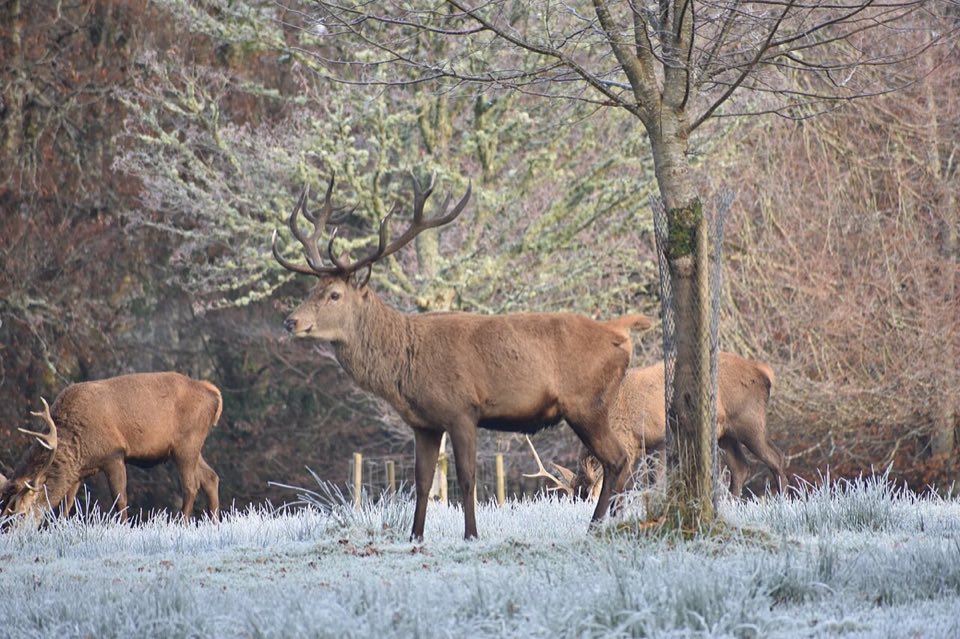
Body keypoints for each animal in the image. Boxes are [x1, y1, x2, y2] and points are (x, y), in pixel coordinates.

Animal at [0, 372, 222, 524]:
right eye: (3, 510)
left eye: (20, 513)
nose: (9, 533)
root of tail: (214, 396)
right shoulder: (78, 472)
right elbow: (66, 505)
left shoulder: (114, 454)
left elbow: (120, 498)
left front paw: (124, 527)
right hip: (189, 448)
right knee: (211, 477)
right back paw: (213, 522)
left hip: (187, 443)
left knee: (191, 485)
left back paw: (182, 523)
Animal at [272, 173, 652, 540]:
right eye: (313, 289)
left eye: (334, 294)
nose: (291, 321)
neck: (405, 366)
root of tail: (619, 331)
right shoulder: (424, 423)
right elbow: (422, 481)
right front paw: (415, 537)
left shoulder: (462, 409)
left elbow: (467, 477)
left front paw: (471, 534)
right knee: (620, 461)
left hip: (587, 403)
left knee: (618, 459)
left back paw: (596, 526)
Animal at [524, 352, 788, 499]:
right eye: (572, 497)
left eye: (590, 496)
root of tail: (764, 372)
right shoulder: (650, 444)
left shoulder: (649, 440)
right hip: (725, 433)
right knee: (741, 467)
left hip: (749, 419)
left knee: (776, 457)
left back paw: (782, 501)